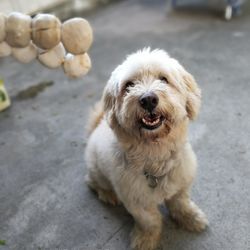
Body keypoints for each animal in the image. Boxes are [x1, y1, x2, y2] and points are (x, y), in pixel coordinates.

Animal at [85, 47, 208, 249]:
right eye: (129, 85)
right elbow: (150, 221)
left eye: (163, 79)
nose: (148, 99)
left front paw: (191, 218)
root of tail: (96, 126)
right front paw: (146, 239)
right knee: (91, 182)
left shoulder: (182, 182)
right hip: (97, 171)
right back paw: (107, 194)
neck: (155, 157)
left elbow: (181, 203)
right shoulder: (135, 200)